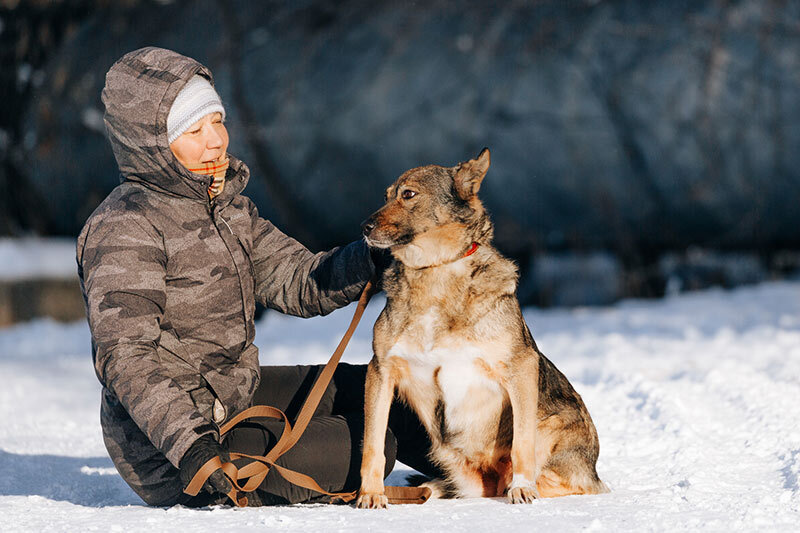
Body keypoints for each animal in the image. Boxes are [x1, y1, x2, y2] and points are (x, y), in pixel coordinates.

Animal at [356, 149, 608, 508]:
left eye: (409, 194)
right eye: (386, 196)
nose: (363, 227)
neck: (435, 271)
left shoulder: (521, 367)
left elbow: (522, 445)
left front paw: (522, 488)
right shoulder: (380, 371)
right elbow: (373, 444)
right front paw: (371, 494)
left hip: (553, 426)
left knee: (568, 481)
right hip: (458, 472)